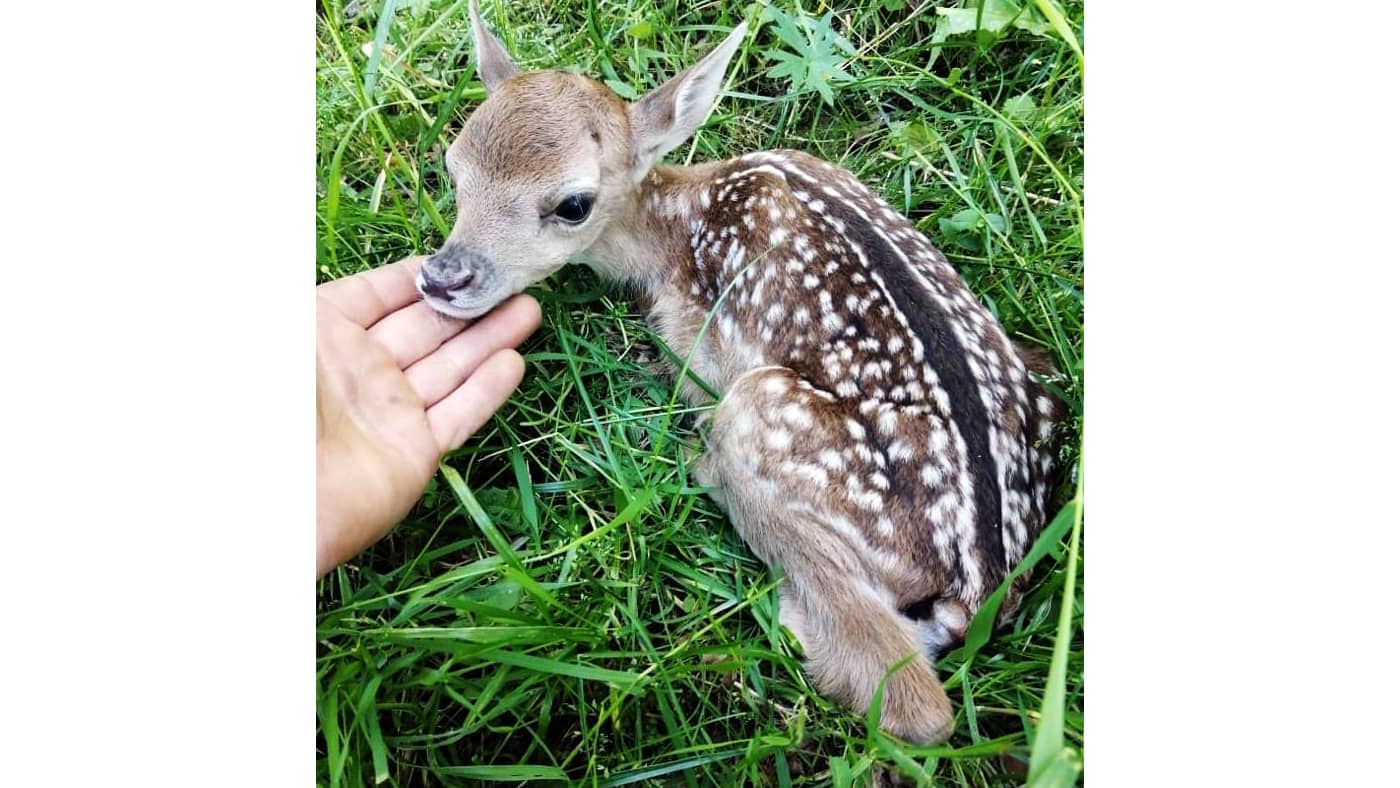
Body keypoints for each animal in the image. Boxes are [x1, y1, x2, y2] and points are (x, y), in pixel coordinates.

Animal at [420, 0, 1064, 744]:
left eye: (573, 203)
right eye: (454, 168)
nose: (442, 277)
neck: (677, 229)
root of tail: (980, 587)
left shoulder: (697, 338)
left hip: (769, 414)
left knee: (914, 705)